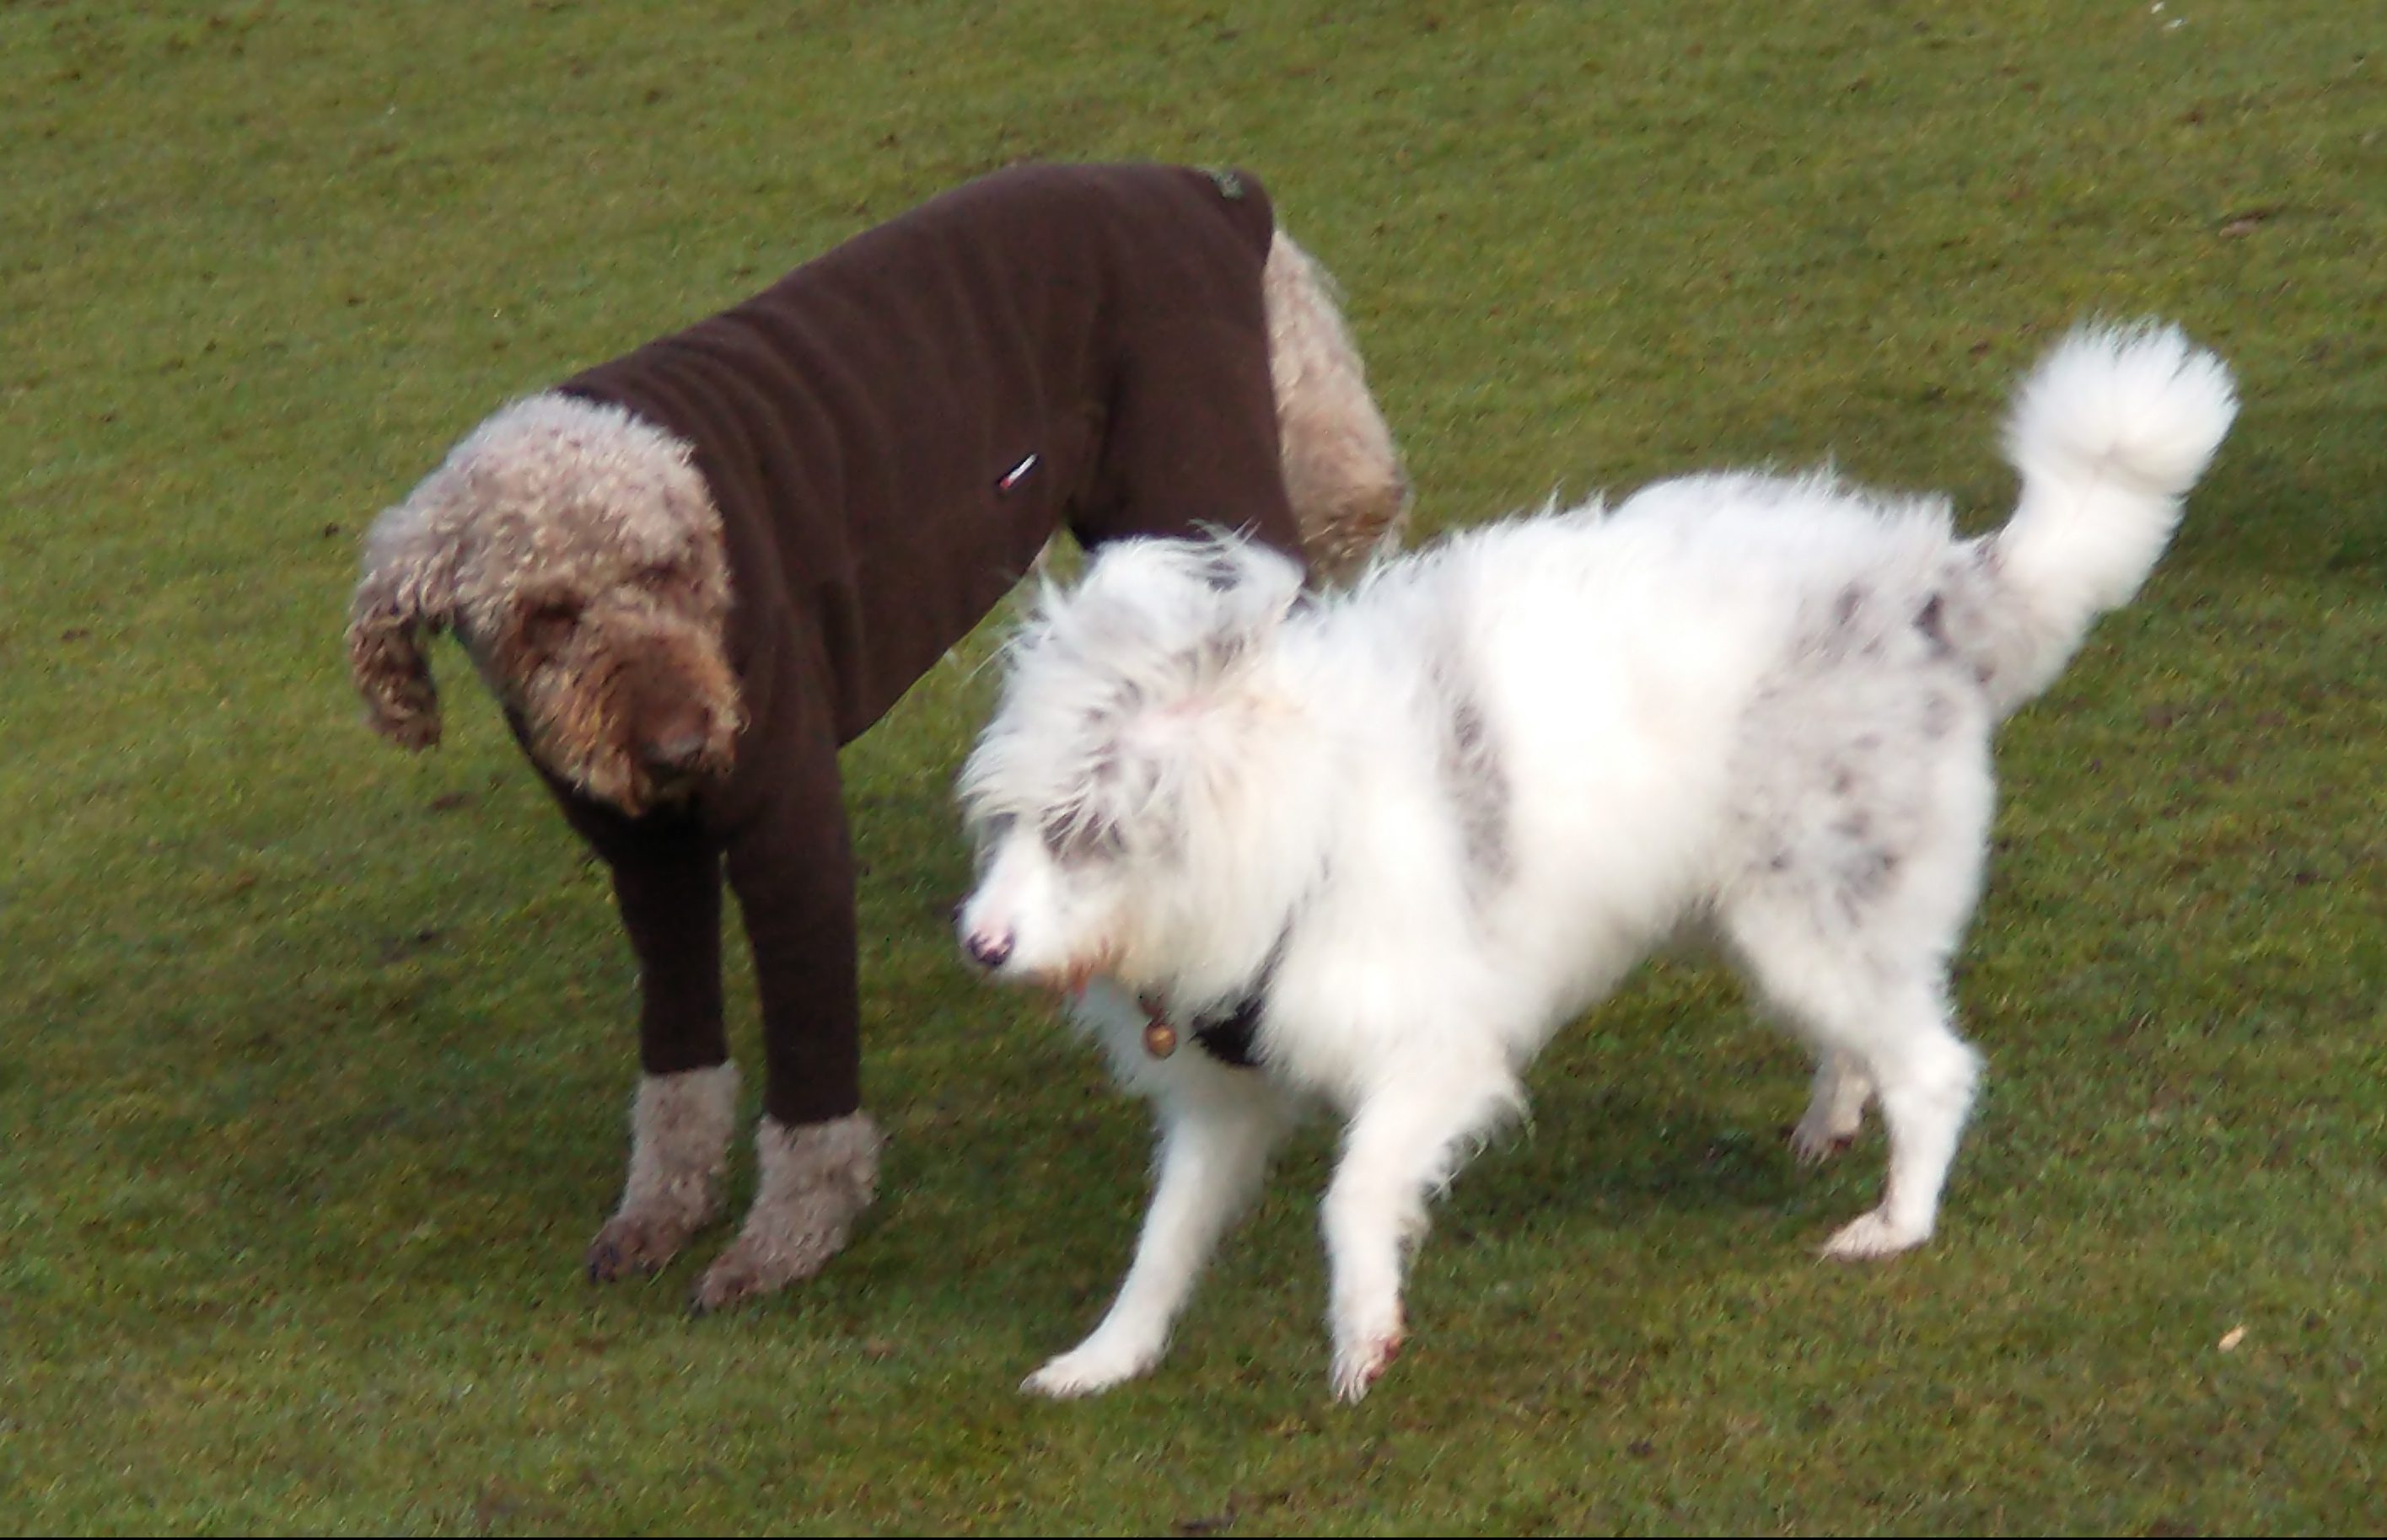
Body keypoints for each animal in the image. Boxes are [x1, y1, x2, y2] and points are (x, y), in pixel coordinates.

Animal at [345, 163, 1409, 1312]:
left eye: (668, 569)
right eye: (544, 614)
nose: (683, 748)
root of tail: (1205, 190)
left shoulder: (785, 819)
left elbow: (810, 1075)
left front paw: (787, 1236)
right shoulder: (648, 858)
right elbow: (677, 1063)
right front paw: (660, 1209)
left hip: (1203, 492)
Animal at [954, 321, 2236, 1400]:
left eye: (1080, 827)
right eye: (1008, 824)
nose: (979, 947)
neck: (1289, 819)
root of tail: (1929, 592)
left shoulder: (1435, 1056)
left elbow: (1352, 1192)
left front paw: (1362, 1329)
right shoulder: (1221, 1102)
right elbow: (1160, 1243)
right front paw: (1103, 1357)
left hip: (1801, 919)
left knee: (1931, 1068)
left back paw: (1895, 1222)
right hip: (1777, 920)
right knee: (1872, 1036)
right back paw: (1831, 1120)